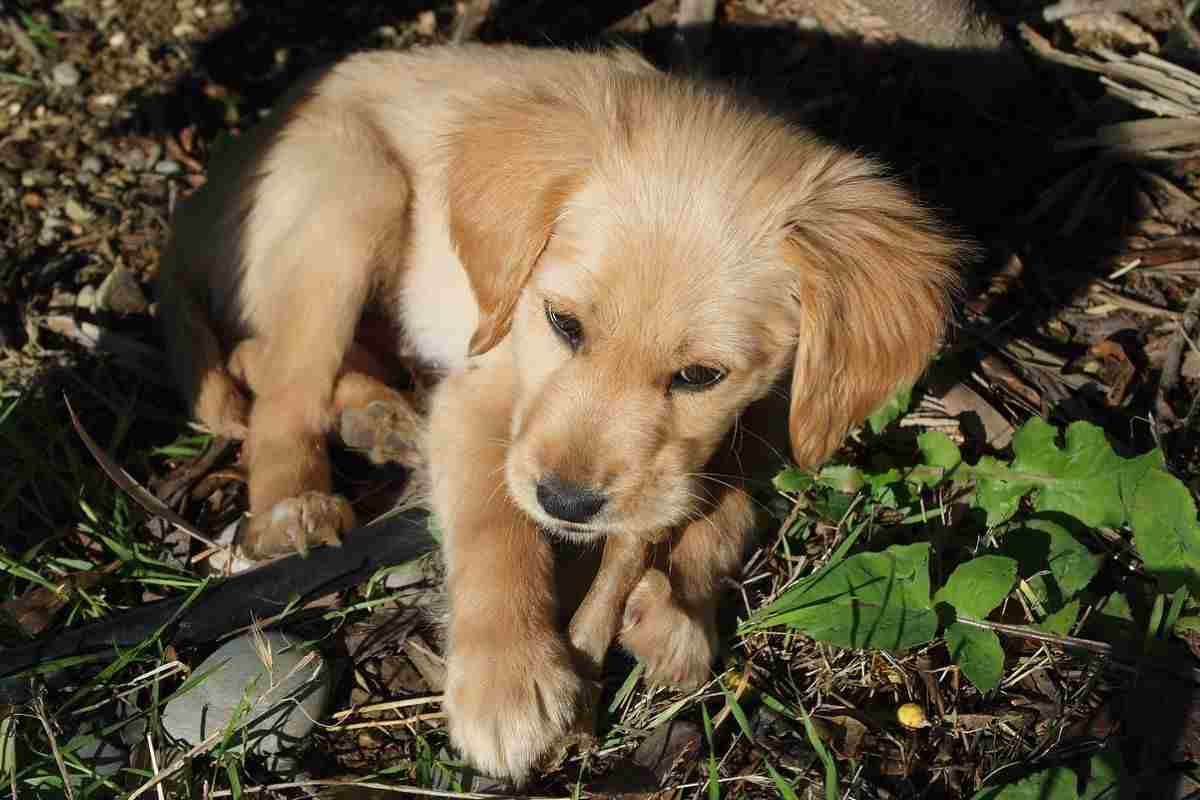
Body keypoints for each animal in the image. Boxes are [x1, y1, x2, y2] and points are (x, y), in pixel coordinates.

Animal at [159, 43, 964, 782]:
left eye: (700, 375)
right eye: (563, 323)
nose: (568, 504)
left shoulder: (766, 419)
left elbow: (722, 506)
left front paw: (674, 609)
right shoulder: (482, 390)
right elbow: (495, 525)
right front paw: (508, 686)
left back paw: (378, 417)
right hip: (351, 191)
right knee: (275, 379)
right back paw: (294, 501)